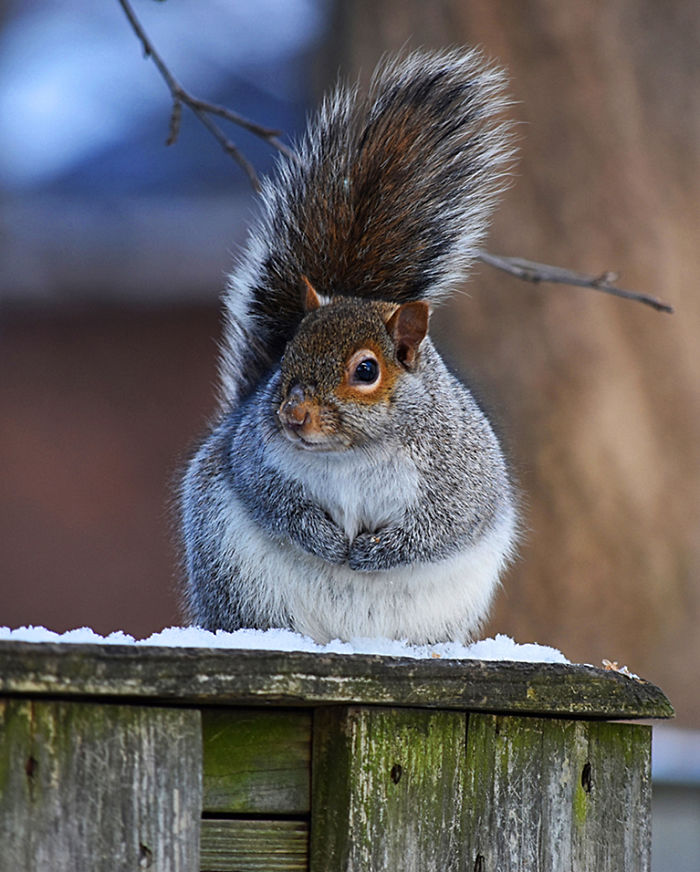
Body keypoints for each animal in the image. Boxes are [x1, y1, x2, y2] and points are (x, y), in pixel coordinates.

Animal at [180, 48, 518, 644]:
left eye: (366, 370)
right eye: (287, 354)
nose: (292, 414)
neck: (353, 454)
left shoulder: (460, 478)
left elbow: (441, 527)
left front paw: (374, 552)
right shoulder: (254, 459)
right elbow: (275, 502)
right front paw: (325, 540)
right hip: (238, 582)